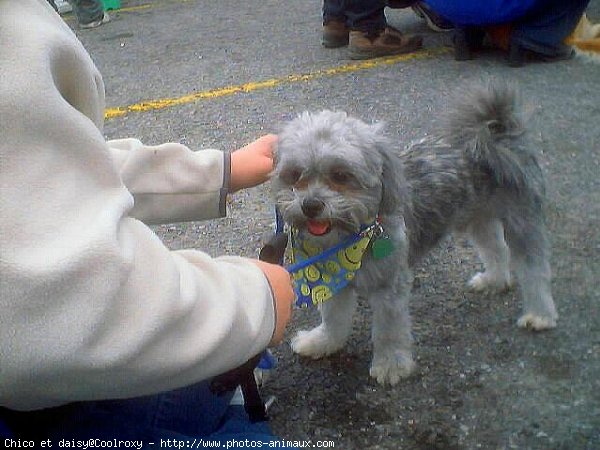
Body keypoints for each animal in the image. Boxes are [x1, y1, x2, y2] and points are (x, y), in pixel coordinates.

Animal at [272, 83, 556, 384]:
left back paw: (540, 315)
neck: (352, 238)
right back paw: (494, 281)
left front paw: (391, 365)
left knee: (534, 270)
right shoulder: (334, 281)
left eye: (340, 175)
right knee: (495, 249)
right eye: (295, 175)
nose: (311, 205)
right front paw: (322, 343)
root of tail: (497, 134)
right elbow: (334, 319)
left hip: (522, 221)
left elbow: (389, 330)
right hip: (478, 218)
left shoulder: (390, 286)